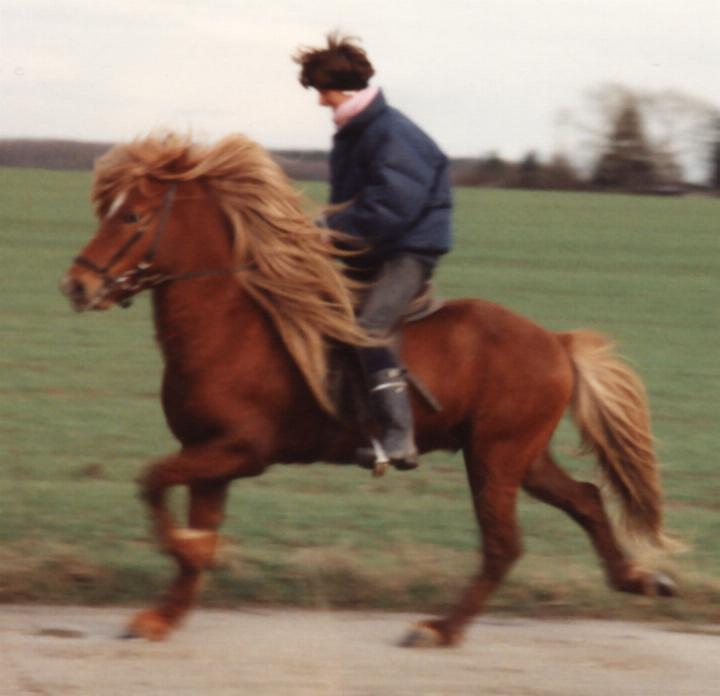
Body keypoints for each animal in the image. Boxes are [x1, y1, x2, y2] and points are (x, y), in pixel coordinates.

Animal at [60, 135, 676, 648]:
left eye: (133, 215)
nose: (77, 285)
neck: (230, 326)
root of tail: (556, 341)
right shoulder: (209, 455)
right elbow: (182, 517)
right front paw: (165, 613)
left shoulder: (240, 450)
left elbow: (152, 483)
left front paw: (194, 553)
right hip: (521, 455)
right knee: (587, 499)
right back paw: (640, 580)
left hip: (495, 457)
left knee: (505, 545)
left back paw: (441, 629)